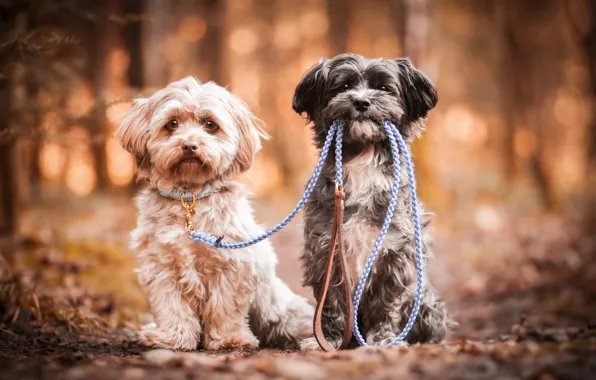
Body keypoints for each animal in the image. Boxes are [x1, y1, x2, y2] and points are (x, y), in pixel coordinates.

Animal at [292, 52, 450, 348]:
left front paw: (382, 339)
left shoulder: (395, 252)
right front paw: (327, 339)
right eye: (343, 87)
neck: (363, 159)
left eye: (384, 88)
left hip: (428, 304)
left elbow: (386, 302)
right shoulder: (325, 250)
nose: (361, 101)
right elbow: (330, 302)